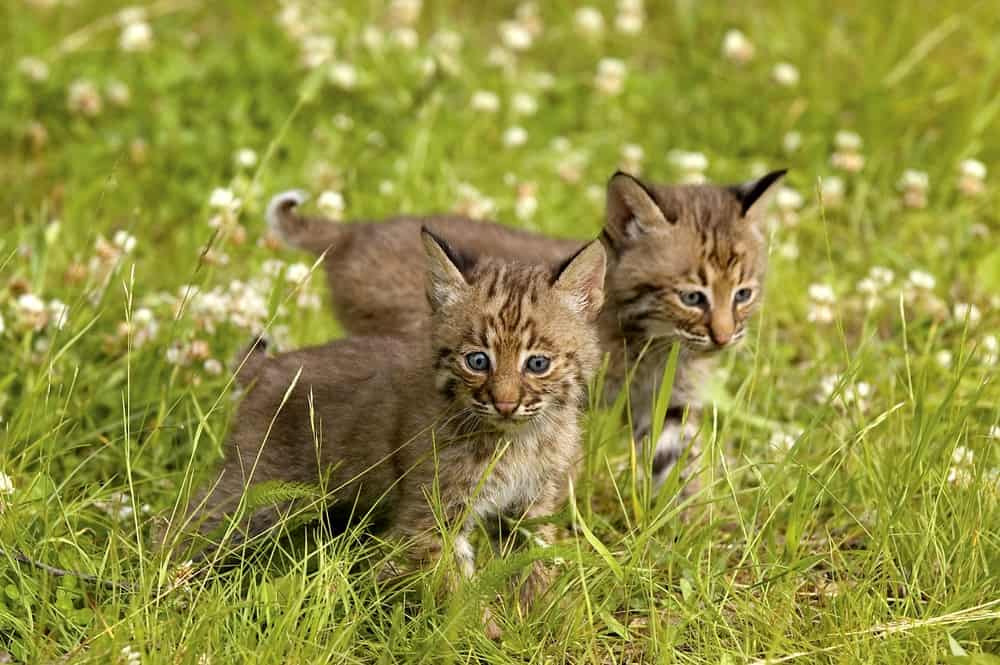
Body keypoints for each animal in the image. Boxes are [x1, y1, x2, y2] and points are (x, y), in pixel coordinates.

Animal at [169, 230, 604, 632]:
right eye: (478, 361)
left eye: (538, 364)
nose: (505, 403)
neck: (519, 437)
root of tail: (269, 365)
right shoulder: (431, 517)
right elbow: (457, 588)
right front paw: (485, 637)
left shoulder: (527, 509)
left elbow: (536, 567)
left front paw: (550, 626)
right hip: (253, 489)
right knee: (181, 526)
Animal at [270, 170, 784, 492]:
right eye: (692, 297)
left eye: (743, 294)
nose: (724, 338)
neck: (655, 343)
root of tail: (358, 230)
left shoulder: (666, 402)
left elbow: (680, 464)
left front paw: (691, 537)